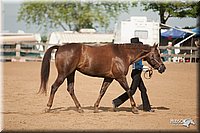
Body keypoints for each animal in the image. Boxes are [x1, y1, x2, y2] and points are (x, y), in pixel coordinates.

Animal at [38, 43, 166, 114]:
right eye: (157, 55)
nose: (163, 68)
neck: (123, 54)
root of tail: (60, 47)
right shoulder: (120, 77)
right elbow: (129, 90)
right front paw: (134, 109)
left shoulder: (109, 78)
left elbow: (102, 91)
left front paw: (96, 108)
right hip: (63, 74)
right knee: (54, 87)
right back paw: (48, 107)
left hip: (71, 74)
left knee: (70, 89)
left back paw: (80, 108)